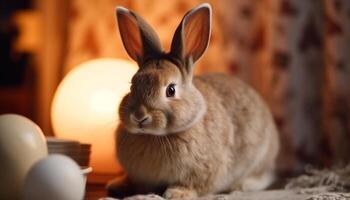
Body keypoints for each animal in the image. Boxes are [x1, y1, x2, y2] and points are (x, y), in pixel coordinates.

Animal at [108, 2, 280, 199]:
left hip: (259, 158)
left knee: (264, 176)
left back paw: (241, 185)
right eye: (132, 85)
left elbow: (196, 185)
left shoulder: (206, 171)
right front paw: (117, 185)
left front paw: (177, 193)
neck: (155, 136)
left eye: (171, 90)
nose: (139, 116)